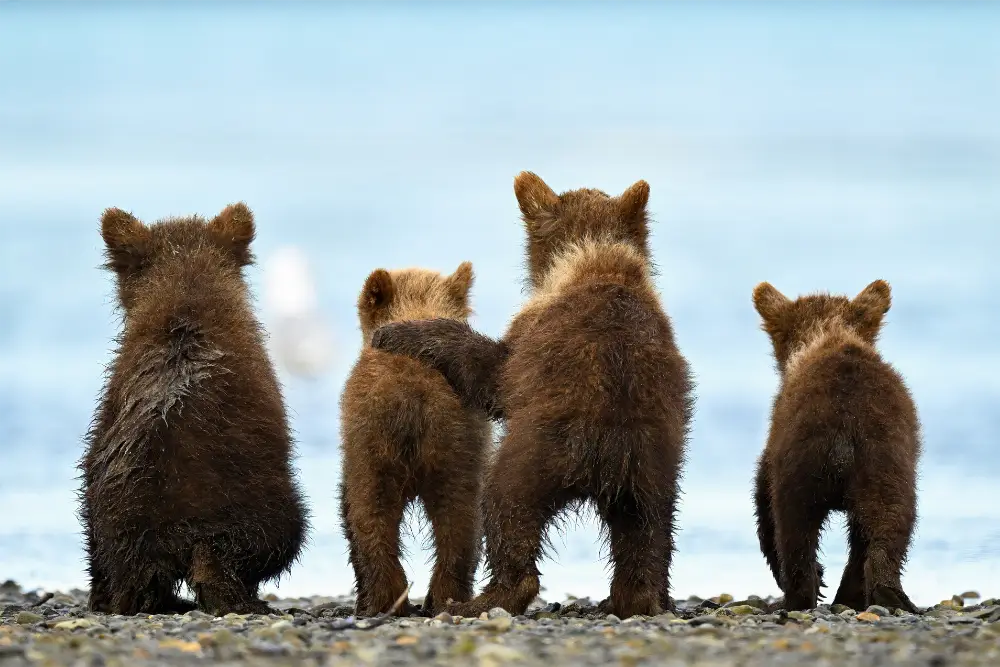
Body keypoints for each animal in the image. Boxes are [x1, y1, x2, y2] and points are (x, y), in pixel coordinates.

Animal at [338, 262, 492, 617]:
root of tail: (413, 394)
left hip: (373, 436)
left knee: (368, 510)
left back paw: (382, 600)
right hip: (458, 442)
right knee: (461, 518)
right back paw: (442, 597)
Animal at [370, 172, 694, 619]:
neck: (595, 262)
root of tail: (605, 456)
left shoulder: (530, 337)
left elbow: (490, 372)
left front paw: (401, 333)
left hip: (536, 454)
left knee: (507, 511)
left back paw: (484, 598)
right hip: (652, 468)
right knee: (649, 532)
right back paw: (638, 597)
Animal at [750, 279, 921, 613]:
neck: (827, 332)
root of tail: (844, 431)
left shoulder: (774, 441)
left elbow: (762, 500)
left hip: (801, 461)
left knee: (793, 529)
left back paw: (799, 596)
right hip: (886, 462)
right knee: (891, 522)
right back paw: (882, 593)